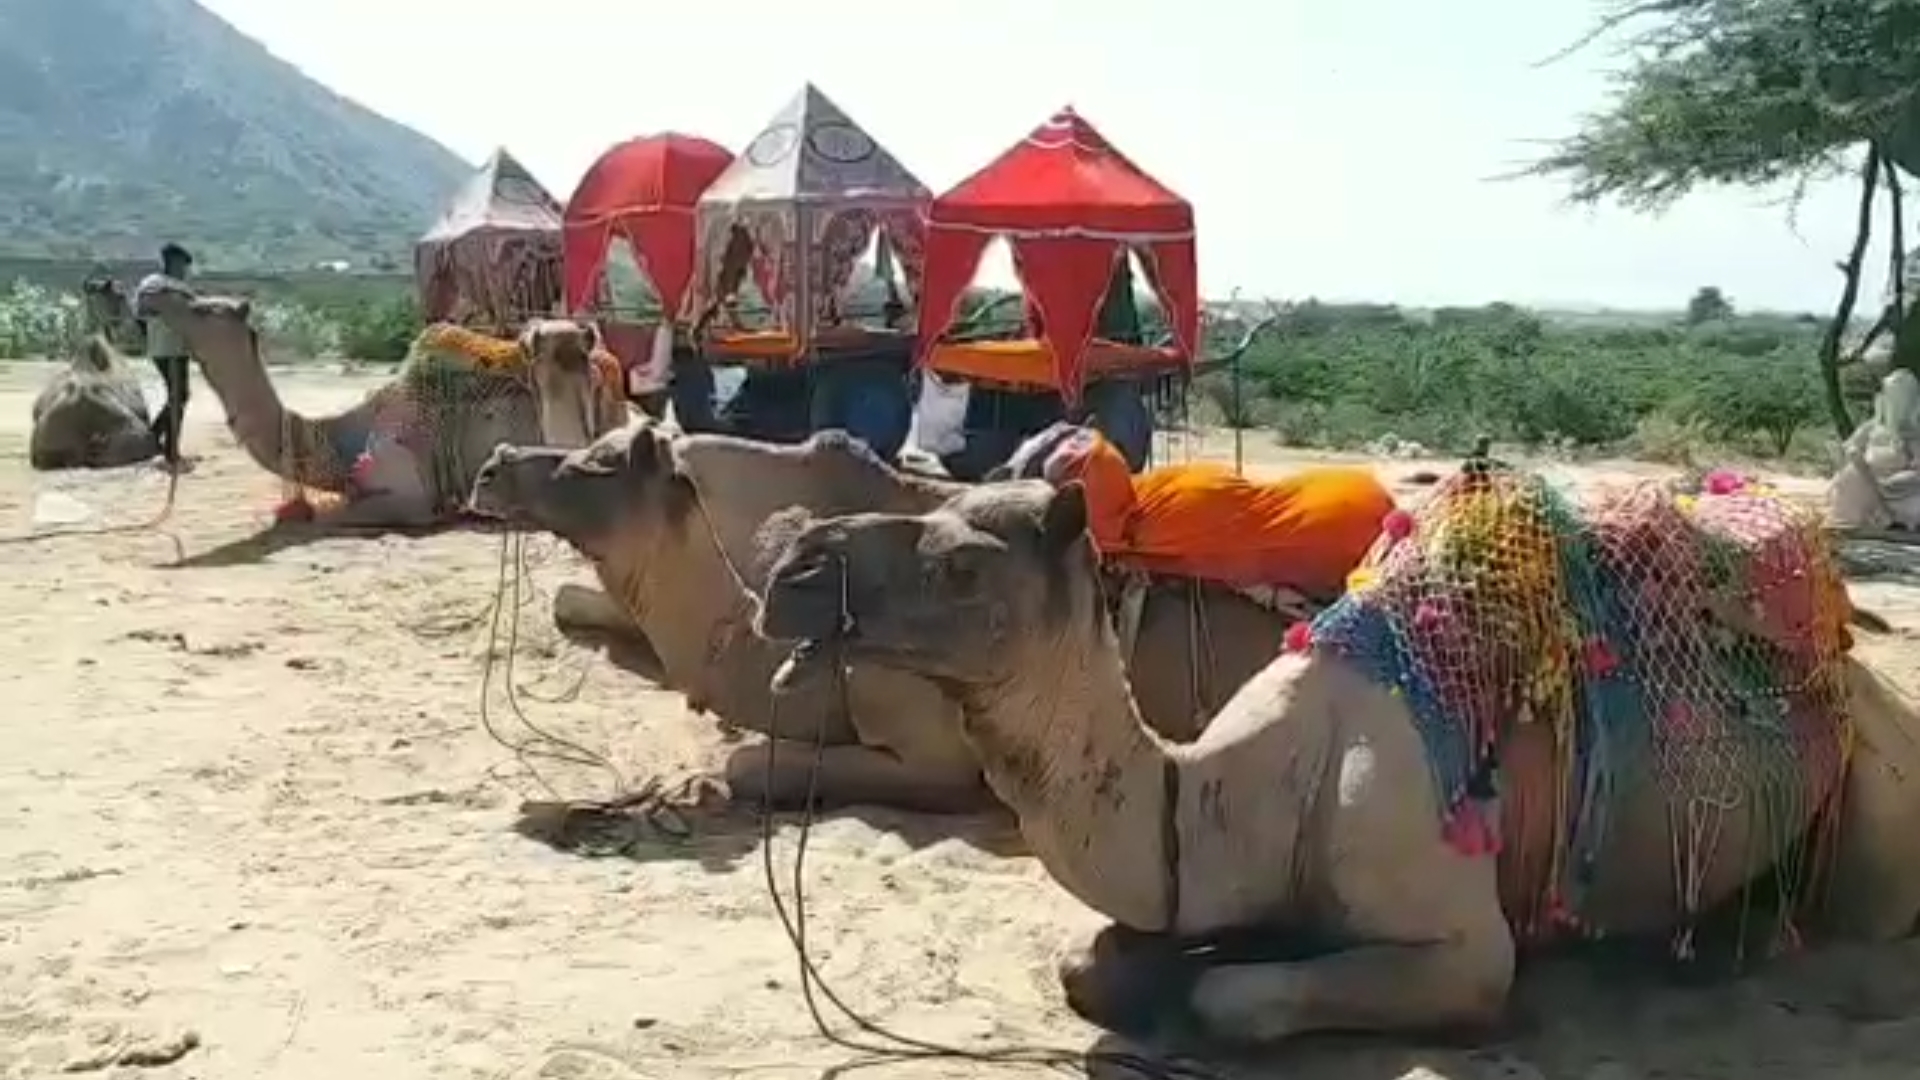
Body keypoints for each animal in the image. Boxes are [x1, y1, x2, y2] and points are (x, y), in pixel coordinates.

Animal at [756, 463, 1920, 1045]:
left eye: (961, 564)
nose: (790, 564)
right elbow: (1094, 964)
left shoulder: (1462, 941)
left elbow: (1240, 1002)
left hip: (1874, 801)